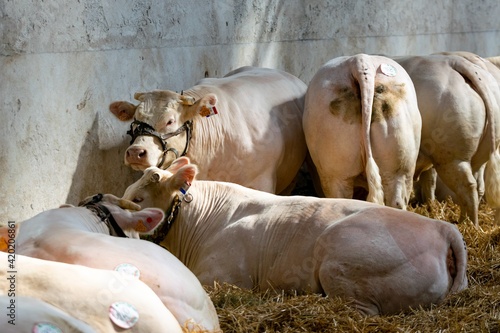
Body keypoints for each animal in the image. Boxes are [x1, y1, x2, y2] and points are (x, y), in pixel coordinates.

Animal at [394, 53, 500, 226]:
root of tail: (454, 62)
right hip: (477, 155)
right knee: (477, 186)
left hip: (451, 157)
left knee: (467, 186)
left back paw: (469, 225)